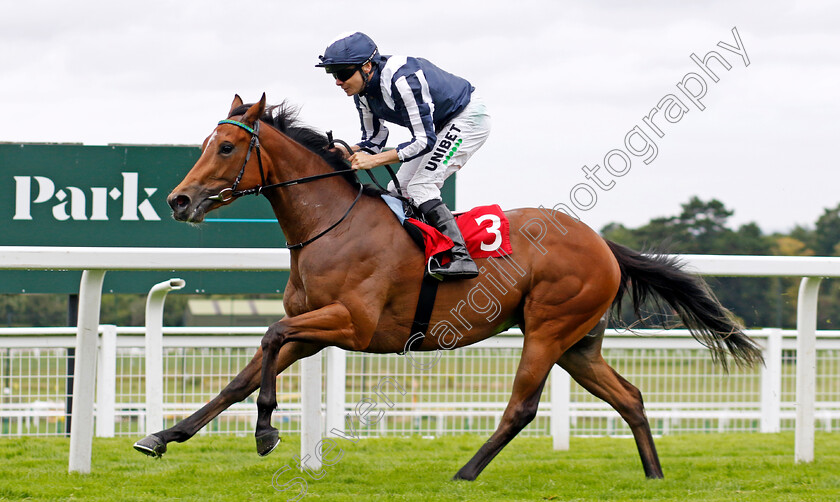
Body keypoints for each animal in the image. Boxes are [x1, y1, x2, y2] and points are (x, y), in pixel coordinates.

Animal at [135, 92, 764, 480]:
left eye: (226, 147)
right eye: (204, 143)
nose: (179, 200)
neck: (330, 225)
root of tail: (602, 244)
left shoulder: (352, 324)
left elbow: (268, 336)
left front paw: (266, 431)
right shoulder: (316, 329)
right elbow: (240, 378)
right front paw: (163, 436)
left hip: (548, 328)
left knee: (521, 408)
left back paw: (464, 472)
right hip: (578, 343)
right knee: (629, 396)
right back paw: (653, 475)